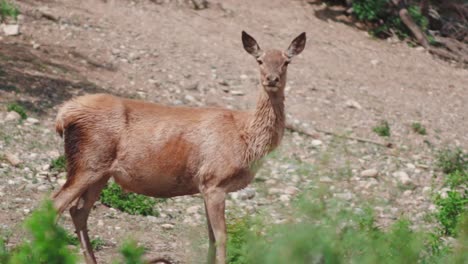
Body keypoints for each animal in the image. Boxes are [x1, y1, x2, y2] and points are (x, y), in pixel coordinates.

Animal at [52, 31, 308, 264]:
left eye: (286, 61)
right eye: (259, 60)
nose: (272, 79)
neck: (246, 138)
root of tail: (63, 115)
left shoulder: (205, 185)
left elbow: (211, 238)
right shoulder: (215, 180)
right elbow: (222, 237)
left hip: (100, 172)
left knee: (78, 211)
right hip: (87, 162)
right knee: (55, 204)